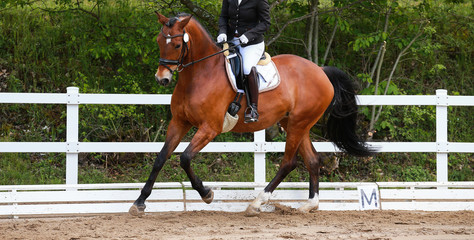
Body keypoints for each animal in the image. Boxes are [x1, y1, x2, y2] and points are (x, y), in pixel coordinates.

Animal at [130, 12, 374, 217]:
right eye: (159, 41)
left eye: (178, 44)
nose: (162, 78)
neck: (200, 74)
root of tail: (320, 71)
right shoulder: (179, 122)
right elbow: (161, 158)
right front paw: (139, 202)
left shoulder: (210, 128)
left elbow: (185, 158)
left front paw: (207, 193)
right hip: (295, 123)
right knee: (313, 160)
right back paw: (309, 205)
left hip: (298, 124)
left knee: (288, 163)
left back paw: (256, 204)